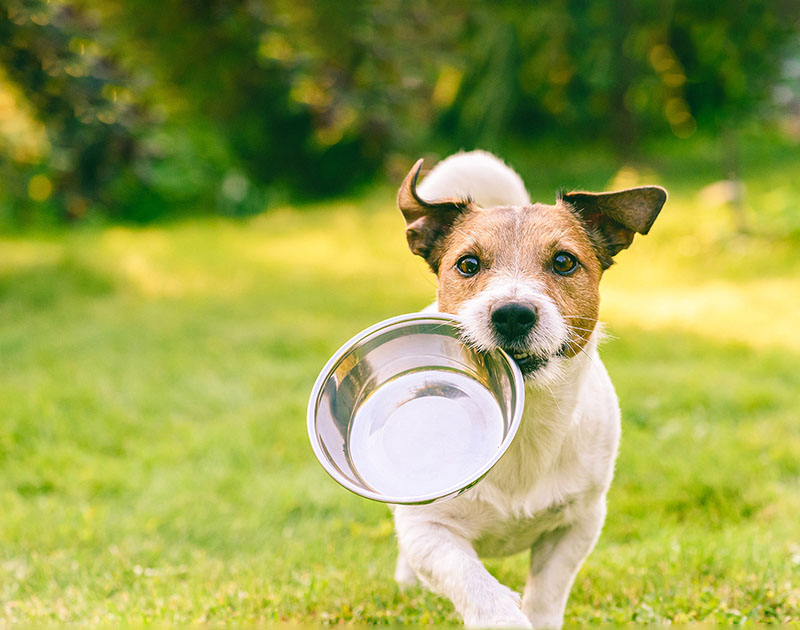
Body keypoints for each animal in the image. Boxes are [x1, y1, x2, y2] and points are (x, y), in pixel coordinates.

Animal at [390, 151, 664, 628]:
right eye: (467, 264)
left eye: (564, 262)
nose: (513, 314)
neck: (525, 422)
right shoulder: (429, 530)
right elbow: (472, 580)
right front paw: (501, 615)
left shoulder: (578, 525)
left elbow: (547, 594)